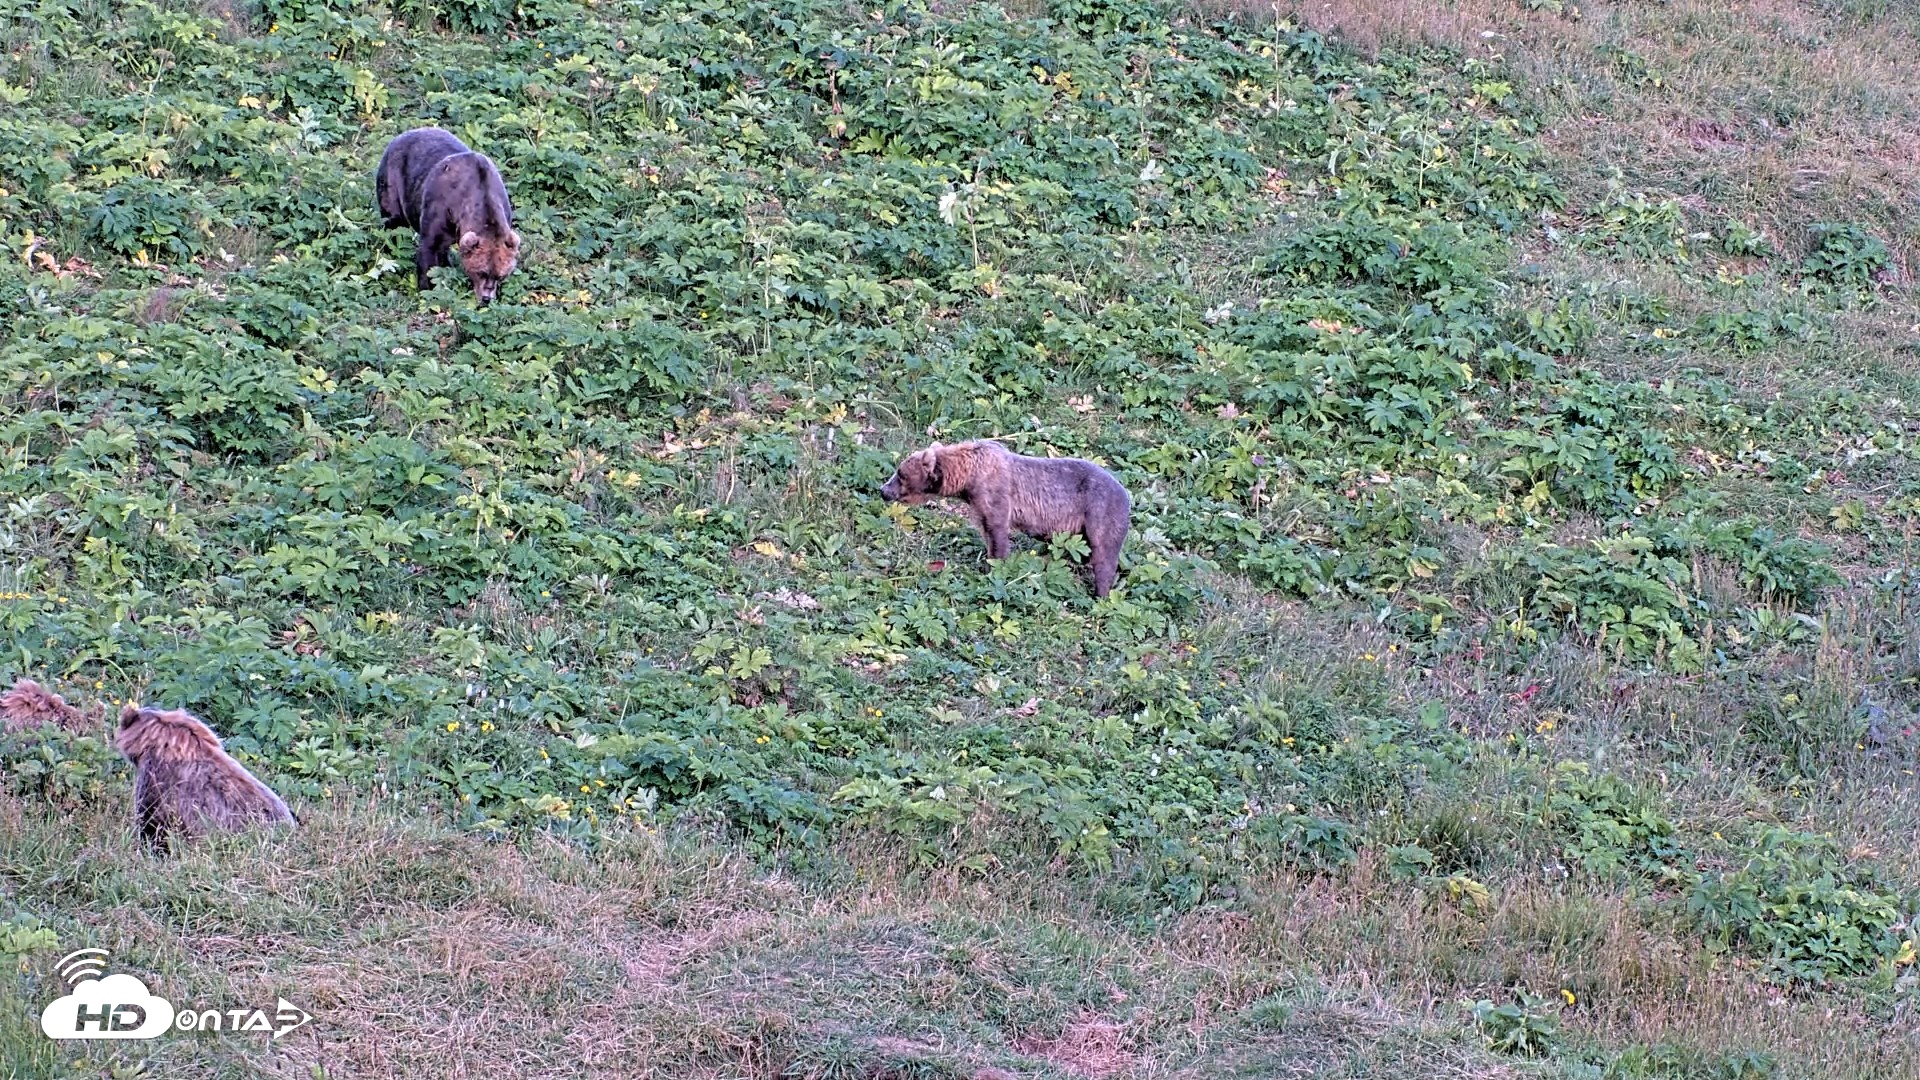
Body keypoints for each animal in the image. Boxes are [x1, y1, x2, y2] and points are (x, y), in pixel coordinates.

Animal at [375, 127, 520, 305]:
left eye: (501, 275)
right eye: (481, 272)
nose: (486, 298)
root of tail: (403, 134)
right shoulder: (438, 209)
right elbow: (429, 251)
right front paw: (427, 290)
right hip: (392, 181)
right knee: (393, 225)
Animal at [880, 439, 1131, 597]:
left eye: (901, 474)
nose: (883, 490)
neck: (967, 478)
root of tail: (1127, 493)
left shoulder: (995, 492)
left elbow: (998, 533)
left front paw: (994, 569)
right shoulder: (977, 504)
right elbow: (986, 531)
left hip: (1100, 511)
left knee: (1104, 554)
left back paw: (1100, 593)